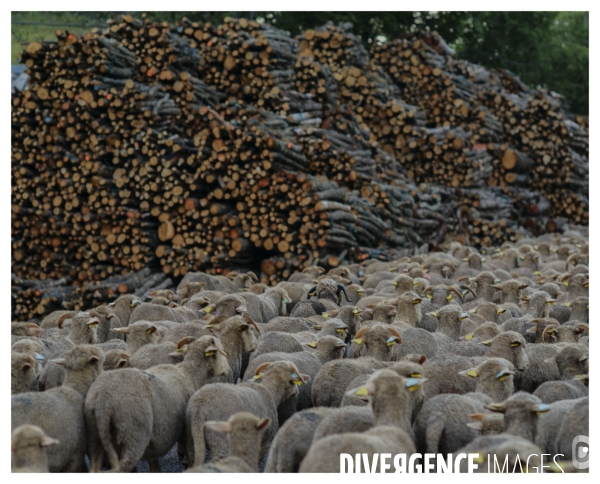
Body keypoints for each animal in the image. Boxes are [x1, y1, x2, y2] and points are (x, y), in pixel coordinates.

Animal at [82, 334, 227, 470]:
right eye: (221, 350)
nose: (227, 368)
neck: (189, 373)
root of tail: (103, 400)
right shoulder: (186, 428)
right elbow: (188, 451)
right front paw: (184, 460)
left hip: (96, 436)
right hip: (133, 435)